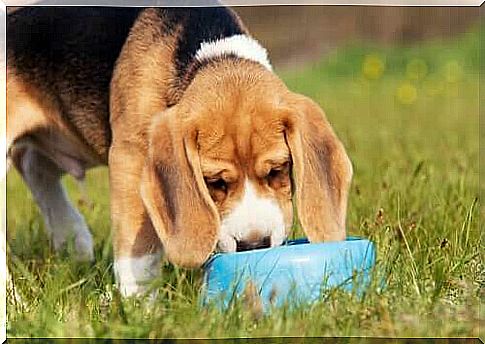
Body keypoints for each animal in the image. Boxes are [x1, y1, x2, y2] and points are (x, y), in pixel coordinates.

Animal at [6, 4, 352, 296]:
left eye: (278, 170)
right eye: (214, 182)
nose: (254, 245)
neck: (213, 57)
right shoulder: (131, 157)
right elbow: (139, 252)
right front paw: (140, 307)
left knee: (33, 163)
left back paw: (72, 239)